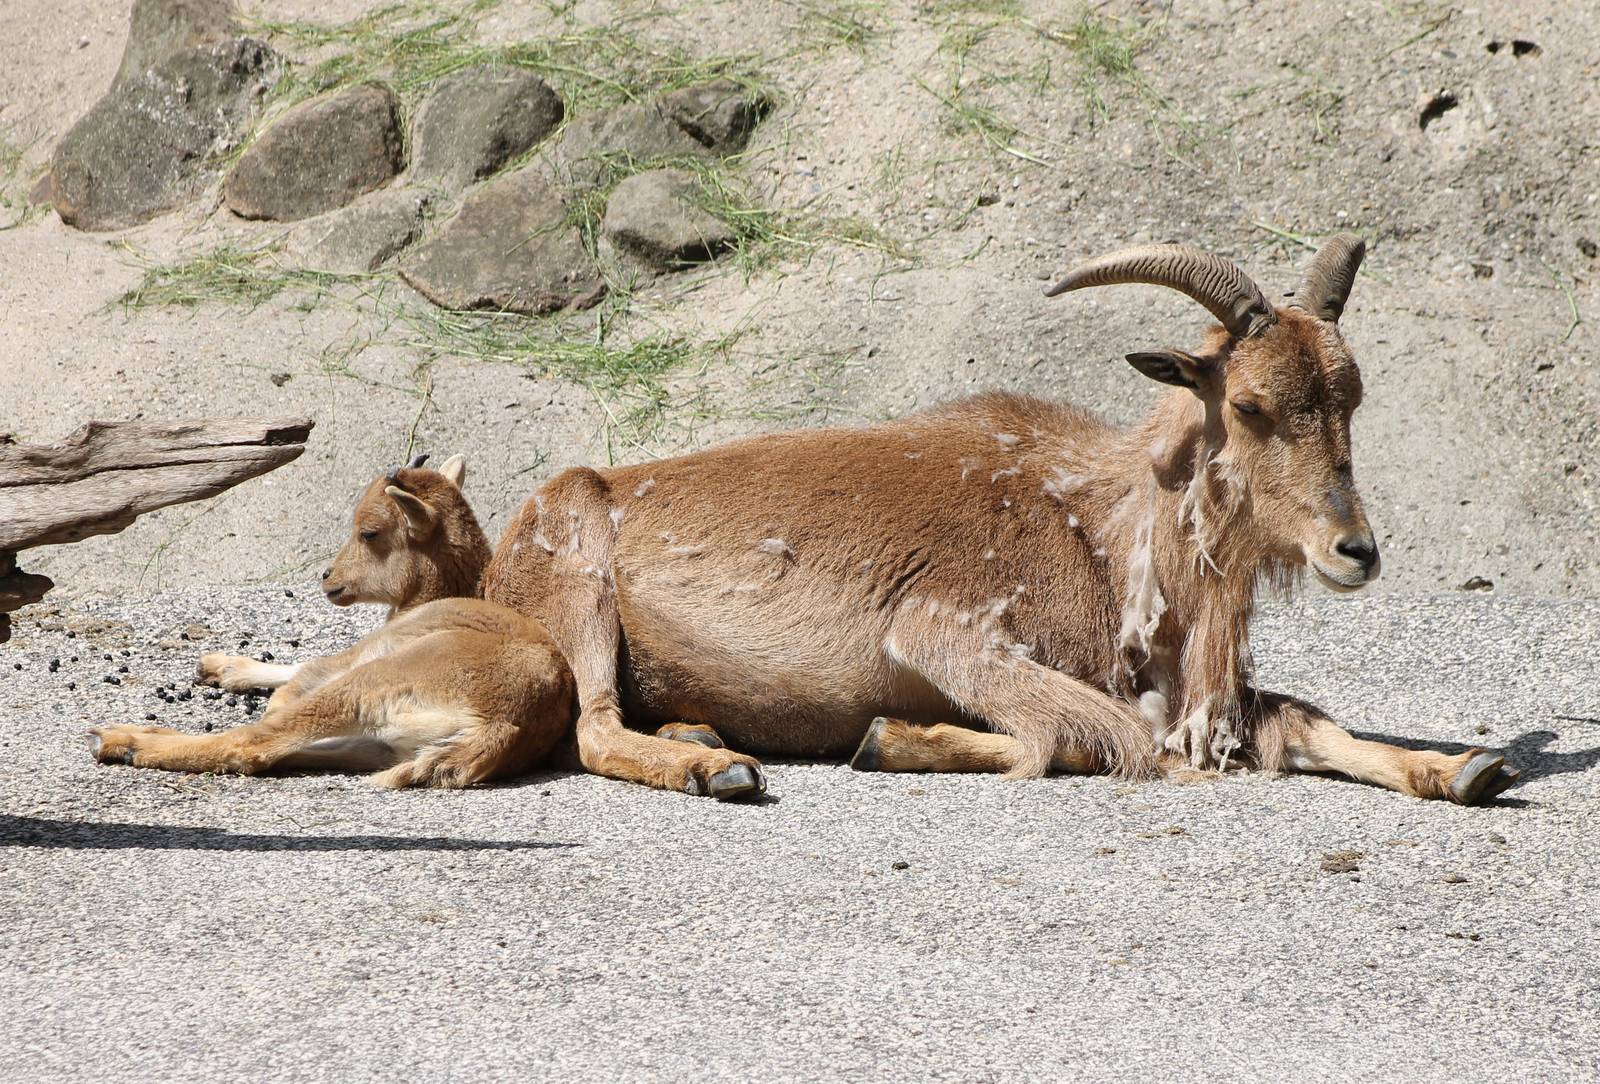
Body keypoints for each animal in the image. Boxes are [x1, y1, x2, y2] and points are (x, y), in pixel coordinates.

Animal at [480, 235, 1520, 805]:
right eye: (1252, 404)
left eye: (1353, 396)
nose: (1357, 551)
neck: (1102, 531)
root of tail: (505, 548)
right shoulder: (949, 632)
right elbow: (1097, 738)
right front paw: (892, 740)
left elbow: (1301, 719)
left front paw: (1464, 769)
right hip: (578, 592)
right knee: (593, 729)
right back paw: (719, 770)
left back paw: (700, 739)